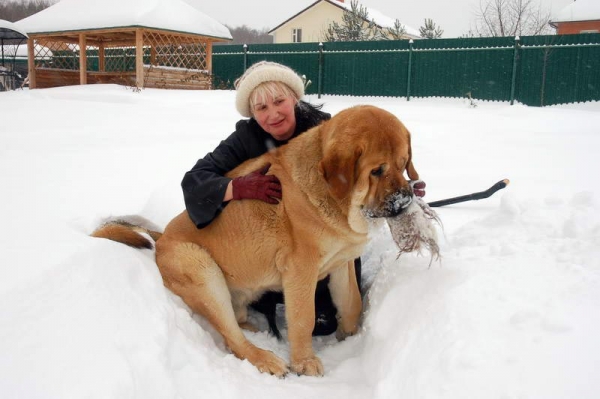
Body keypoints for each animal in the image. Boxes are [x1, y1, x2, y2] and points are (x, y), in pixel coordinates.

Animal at [95, 104, 422, 378]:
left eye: (403, 163)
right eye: (376, 171)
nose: (405, 200)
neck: (337, 199)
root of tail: (162, 238)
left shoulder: (342, 264)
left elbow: (352, 303)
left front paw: (348, 337)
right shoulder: (300, 271)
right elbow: (303, 318)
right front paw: (304, 362)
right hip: (203, 271)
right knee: (232, 339)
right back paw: (265, 358)